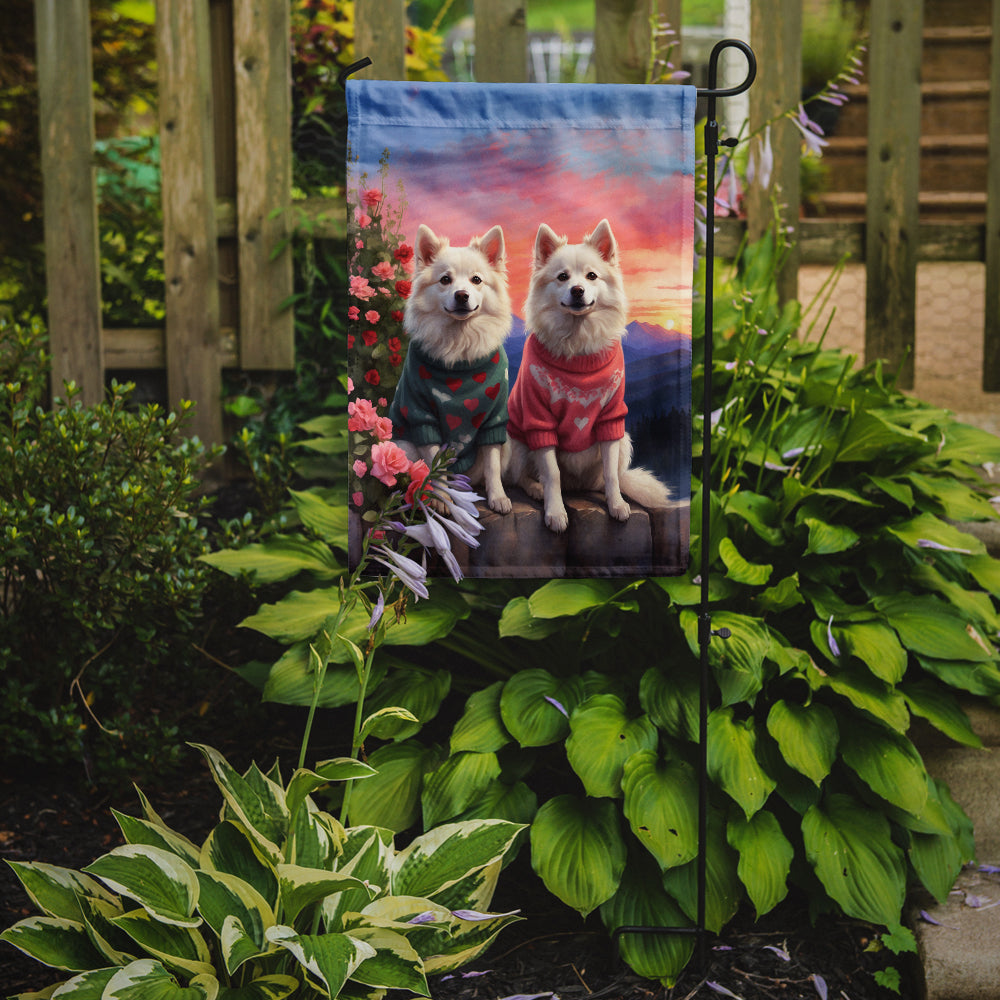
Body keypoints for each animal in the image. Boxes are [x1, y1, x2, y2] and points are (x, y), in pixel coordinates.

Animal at [508, 219, 672, 532]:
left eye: (592, 275)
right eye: (562, 277)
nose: (577, 290)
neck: (577, 341)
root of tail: (577, 486)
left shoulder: (610, 421)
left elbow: (610, 474)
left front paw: (617, 504)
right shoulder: (539, 421)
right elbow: (552, 473)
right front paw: (555, 512)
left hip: (624, 440)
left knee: (609, 477)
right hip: (518, 441)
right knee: (520, 476)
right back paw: (536, 488)